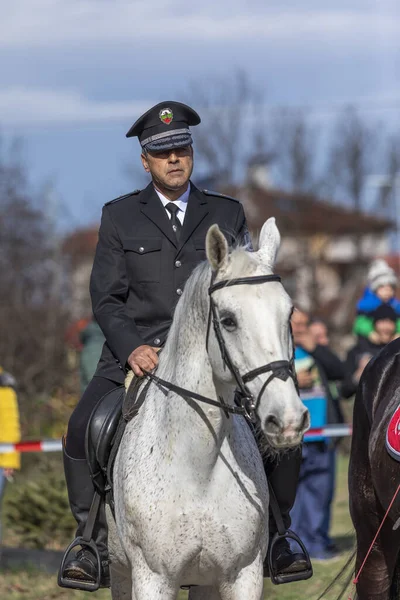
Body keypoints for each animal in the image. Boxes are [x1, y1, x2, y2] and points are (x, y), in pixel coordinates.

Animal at [108, 218, 310, 596]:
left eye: (288, 313)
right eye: (228, 320)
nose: (288, 419)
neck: (199, 462)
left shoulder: (241, 576)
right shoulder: (152, 579)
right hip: (120, 573)